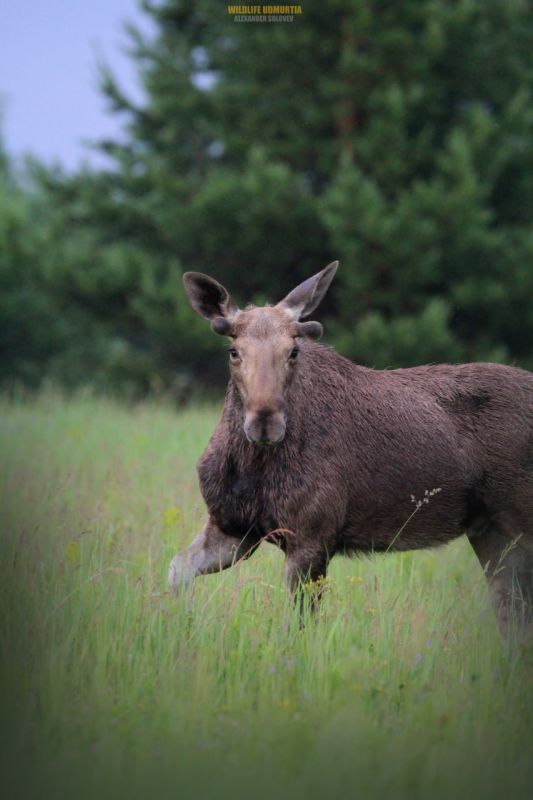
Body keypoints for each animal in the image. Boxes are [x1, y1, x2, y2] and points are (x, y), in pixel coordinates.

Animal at [169, 262, 533, 634]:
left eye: (293, 351)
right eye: (234, 352)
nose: (264, 422)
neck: (251, 469)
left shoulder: (312, 535)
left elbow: (300, 626)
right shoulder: (233, 527)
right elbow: (177, 568)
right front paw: (183, 627)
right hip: (491, 530)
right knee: (511, 611)